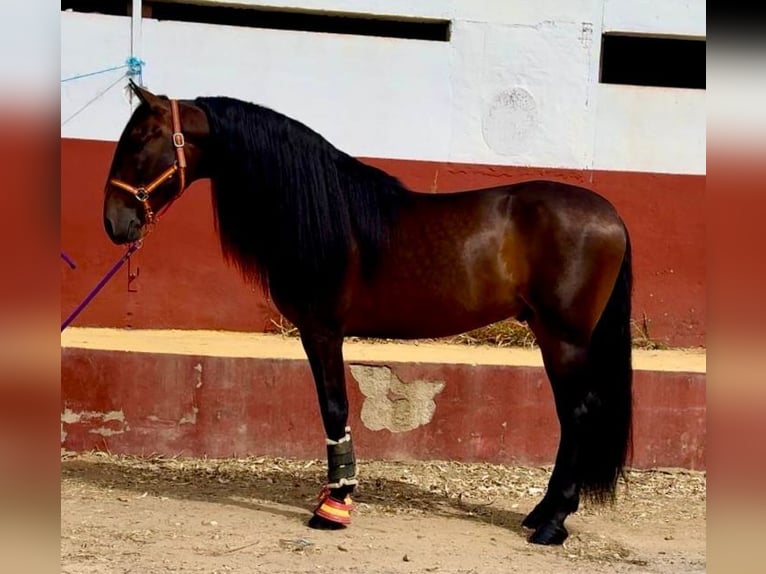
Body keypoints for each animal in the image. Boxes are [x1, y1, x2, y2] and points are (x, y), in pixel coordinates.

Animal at [106, 82, 636, 548]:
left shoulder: (322, 331)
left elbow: (334, 407)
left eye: (140, 138)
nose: (114, 221)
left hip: (564, 337)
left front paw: (334, 505)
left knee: (578, 413)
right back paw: (541, 514)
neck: (326, 213)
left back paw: (553, 523)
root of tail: (611, 215)